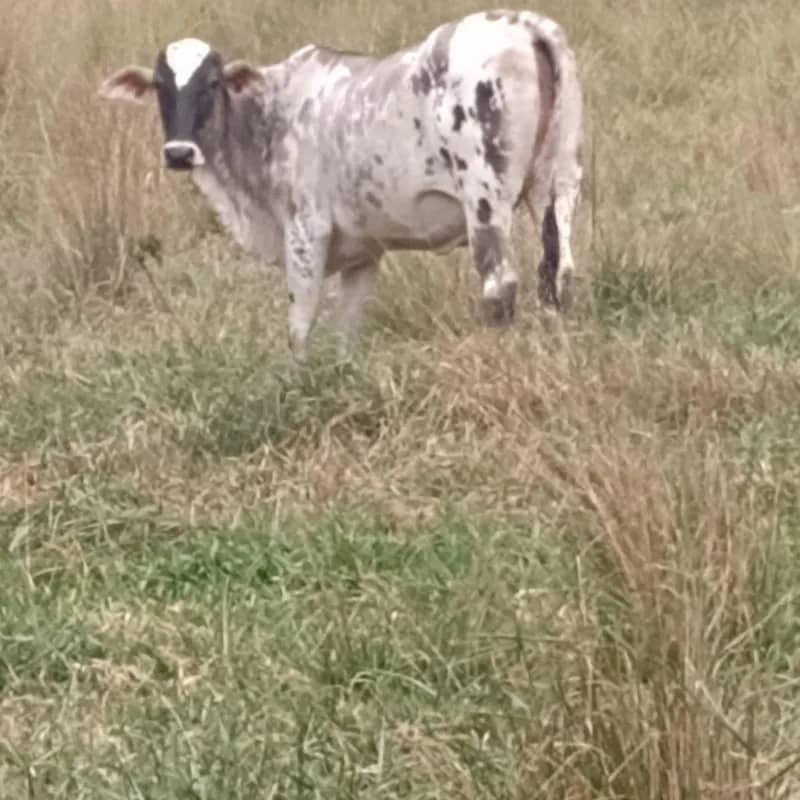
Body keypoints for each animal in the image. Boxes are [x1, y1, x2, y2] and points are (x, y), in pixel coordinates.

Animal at [100, 9, 583, 358]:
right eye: (160, 85)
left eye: (213, 82)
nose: (179, 152)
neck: (269, 114)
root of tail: (523, 23)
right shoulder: (363, 253)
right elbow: (346, 330)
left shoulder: (305, 230)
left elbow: (300, 324)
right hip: (559, 183)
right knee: (555, 272)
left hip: (485, 198)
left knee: (500, 285)